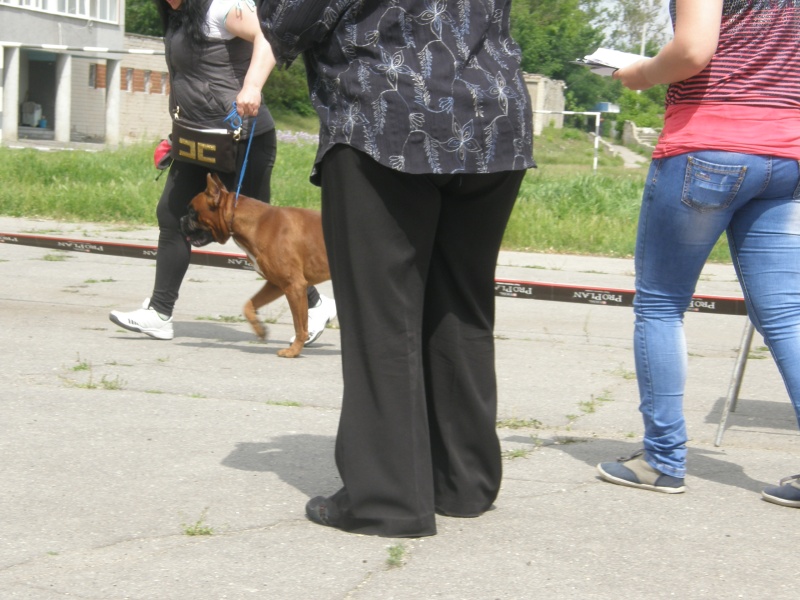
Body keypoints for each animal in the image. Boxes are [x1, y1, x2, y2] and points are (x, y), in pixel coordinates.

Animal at [181, 172, 331, 358]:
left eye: (192, 212)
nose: (181, 219)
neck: (255, 222)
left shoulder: (294, 286)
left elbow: (299, 325)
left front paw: (294, 350)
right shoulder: (276, 285)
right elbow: (248, 306)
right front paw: (260, 329)